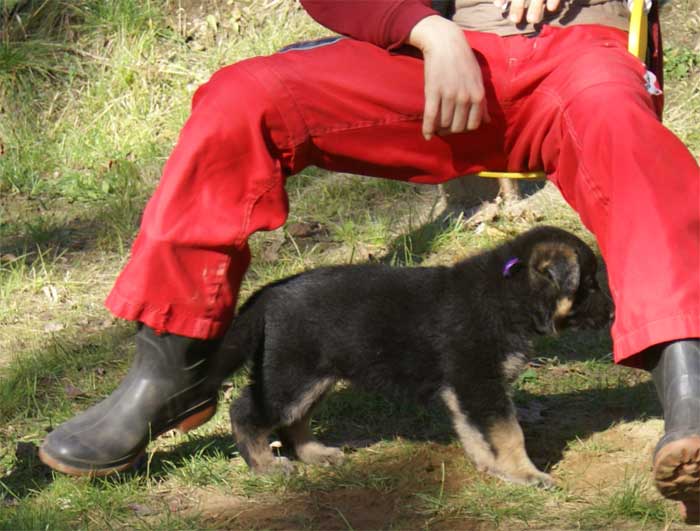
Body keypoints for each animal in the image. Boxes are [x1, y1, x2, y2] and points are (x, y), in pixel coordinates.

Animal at [224, 224, 612, 486]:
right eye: (590, 285)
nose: (612, 314)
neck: (507, 293)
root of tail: (270, 295)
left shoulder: (467, 390)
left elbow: (477, 433)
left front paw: (492, 467)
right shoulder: (479, 385)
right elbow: (509, 432)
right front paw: (525, 473)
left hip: (316, 378)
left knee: (294, 420)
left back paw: (315, 454)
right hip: (291, 377)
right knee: (245, 411)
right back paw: (264, 466)